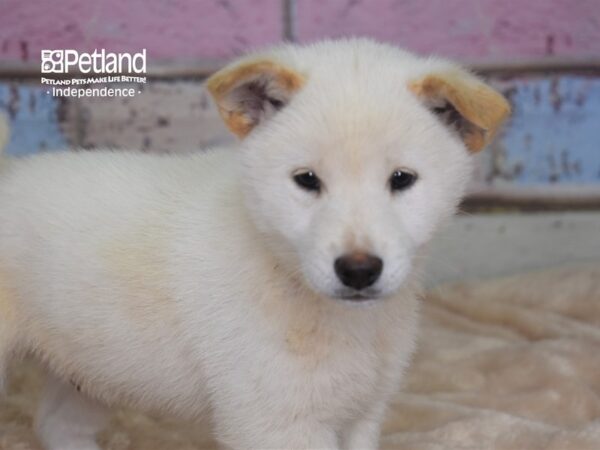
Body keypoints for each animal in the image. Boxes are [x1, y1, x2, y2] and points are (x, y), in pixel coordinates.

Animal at [0, 39, 508, 450]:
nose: (359, 270)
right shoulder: (278, 423)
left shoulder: (361, 413)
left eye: (402, 179)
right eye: (306, 180)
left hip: (90, 370)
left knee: (57, 427)